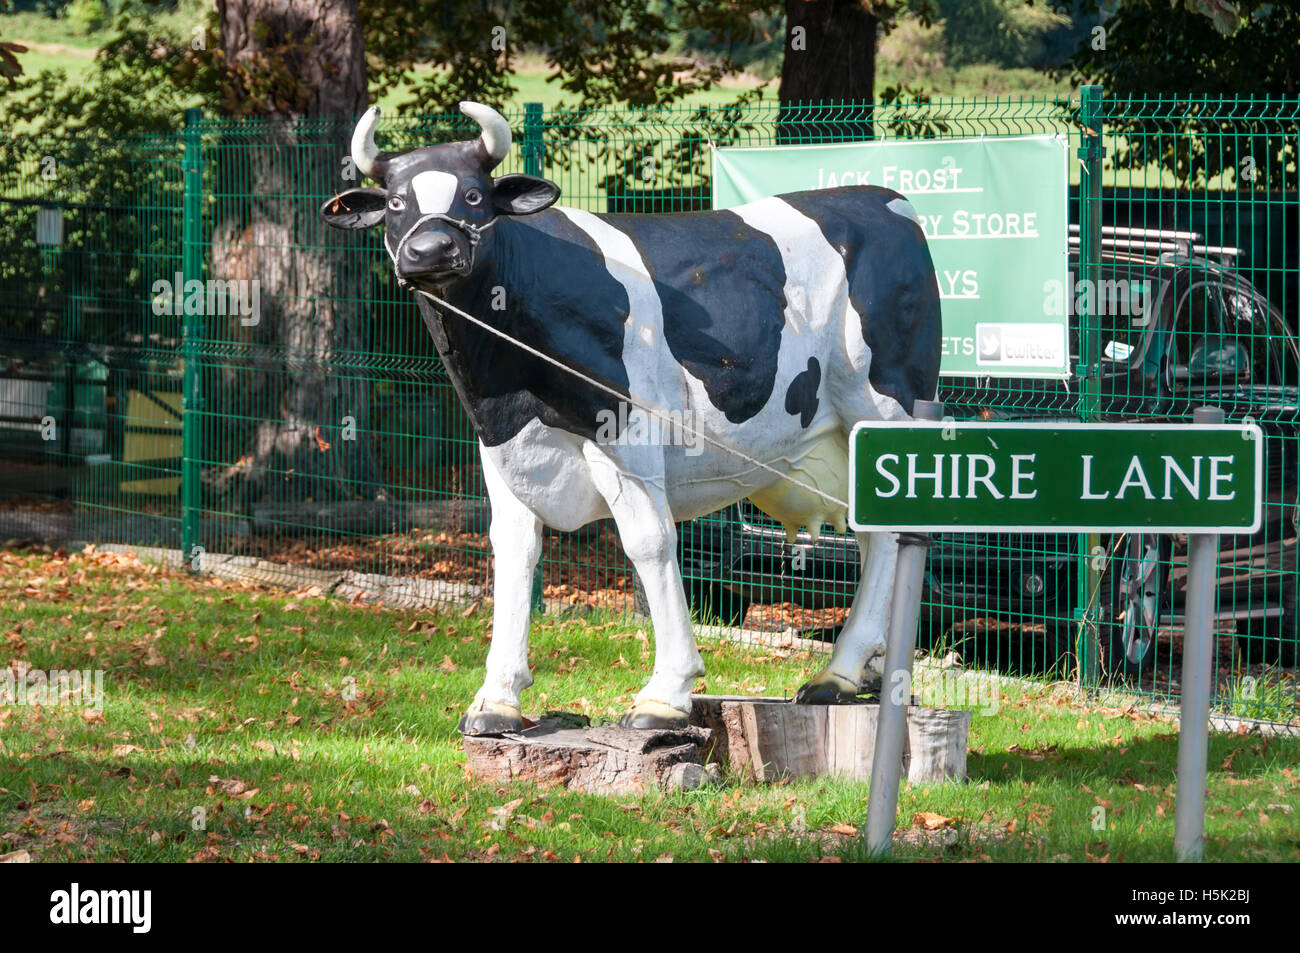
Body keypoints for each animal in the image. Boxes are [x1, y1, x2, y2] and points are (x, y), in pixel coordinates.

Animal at [319, 102, 941, 728]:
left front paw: (666, 694)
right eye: (396, 202)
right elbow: (513, 550)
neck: (503, 377)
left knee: (889, 532)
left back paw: (842, 673)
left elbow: (649, 542)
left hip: (884, 411)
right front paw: (496, 699)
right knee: (869, 536)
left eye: (473, 195)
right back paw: (868, 674)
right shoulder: (502, 444)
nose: (430, 252)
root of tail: (884, 198)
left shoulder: (627, 434)